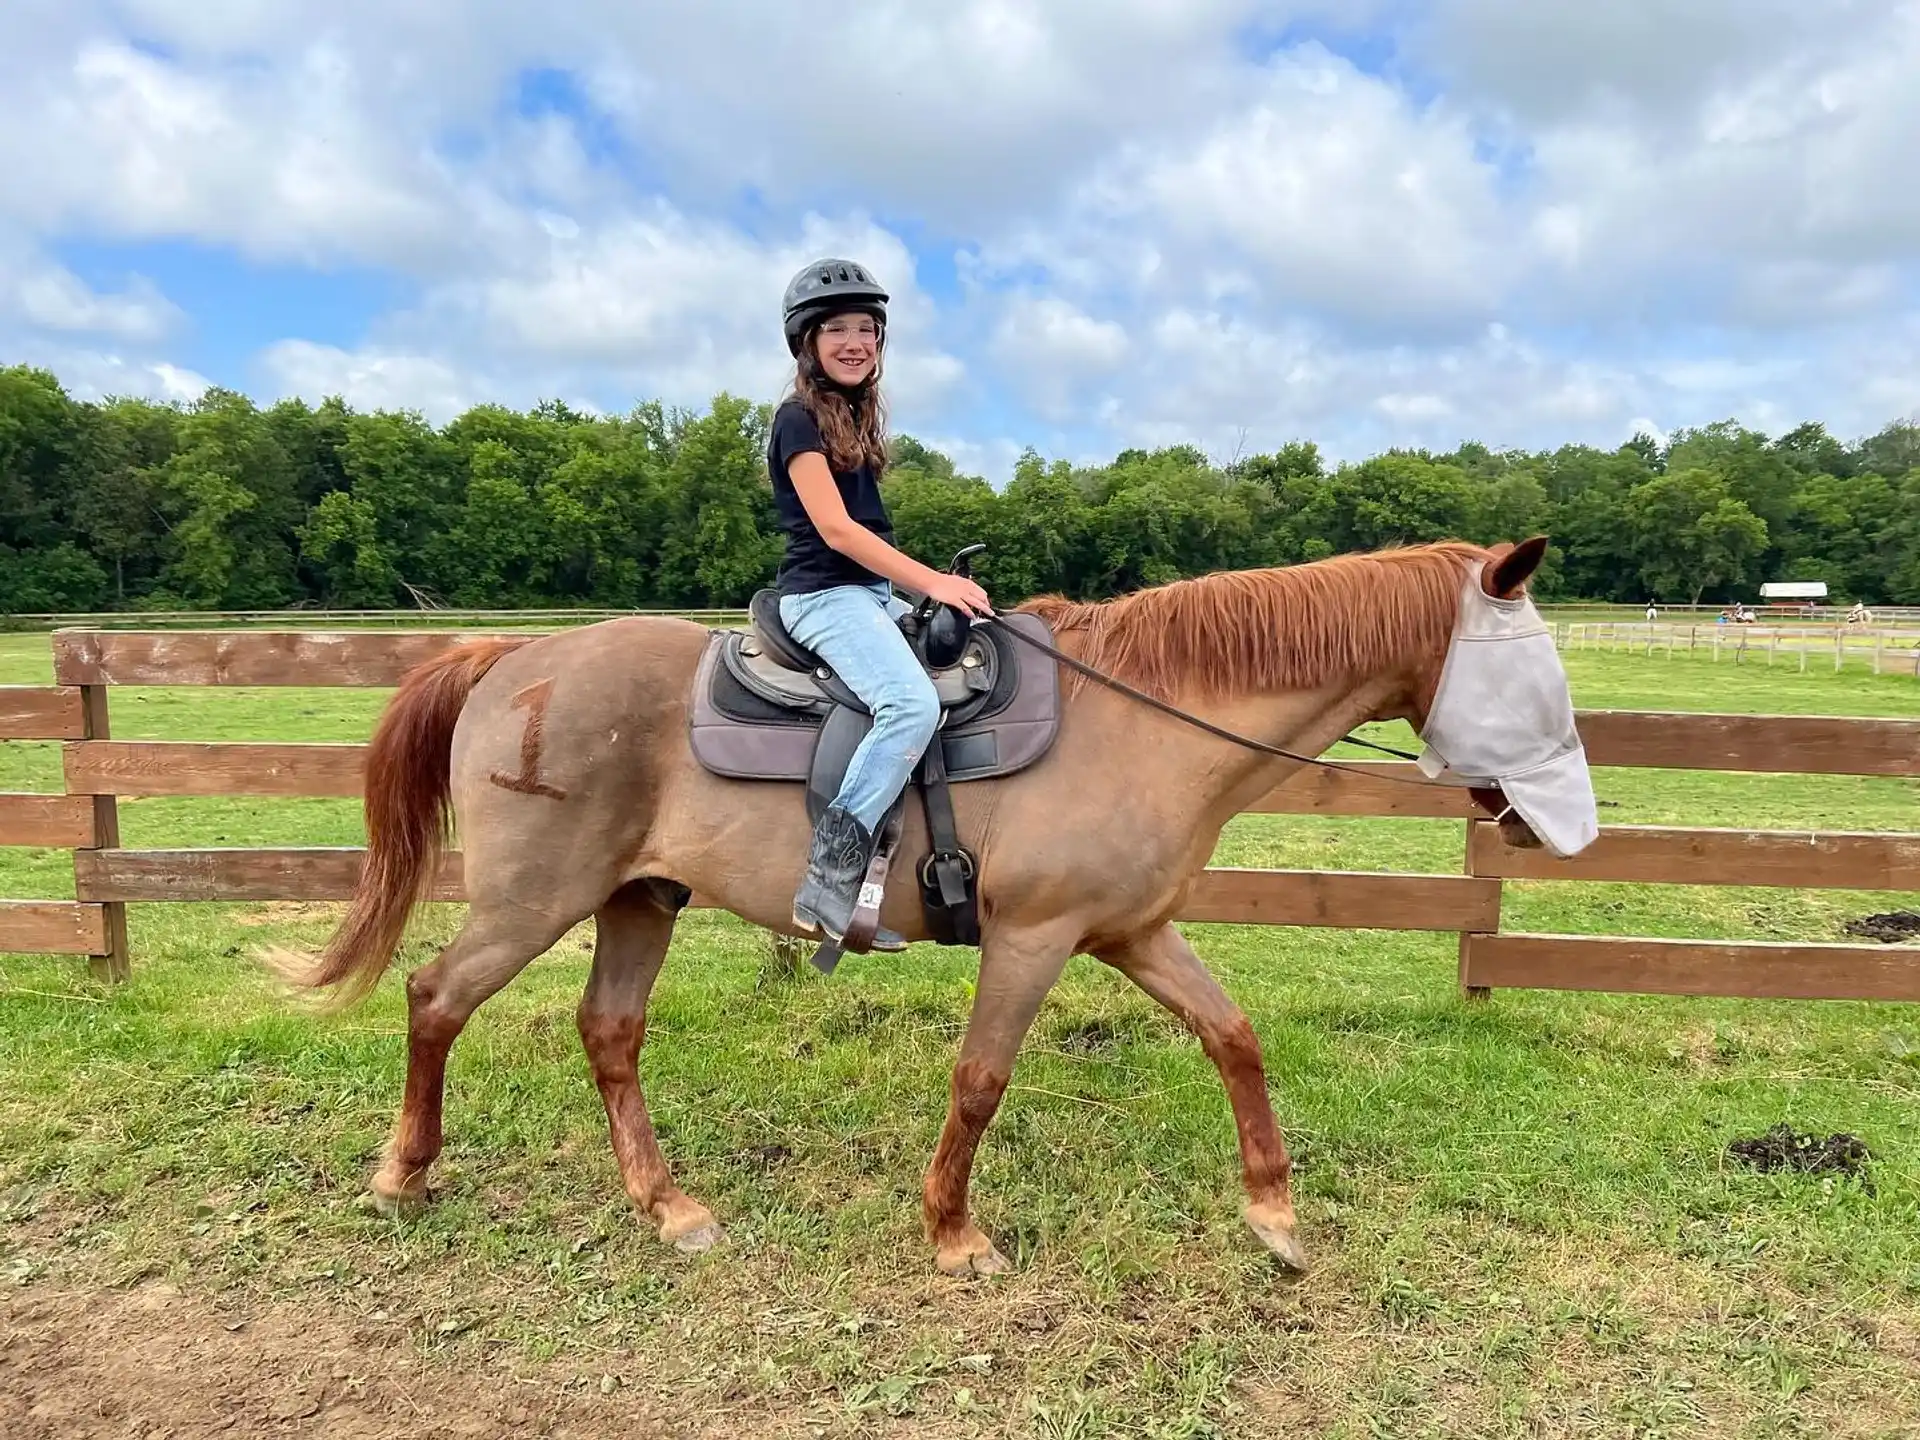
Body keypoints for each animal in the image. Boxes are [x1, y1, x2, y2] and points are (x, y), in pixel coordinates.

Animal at [285, 536, 1564, 1277]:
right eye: (1529, 674)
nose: (1552, 822)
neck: (1142, 717)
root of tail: (509, 663)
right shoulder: (1037, 937)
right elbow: (982, 1078)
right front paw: (953, 1232)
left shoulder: (1132, 931)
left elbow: (1232, 1037)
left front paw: (1274, 1217)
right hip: (531, 901)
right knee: (434, 998)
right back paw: (405, 1175)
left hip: (639, 900)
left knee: (607, 1032)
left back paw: (668, 1206)